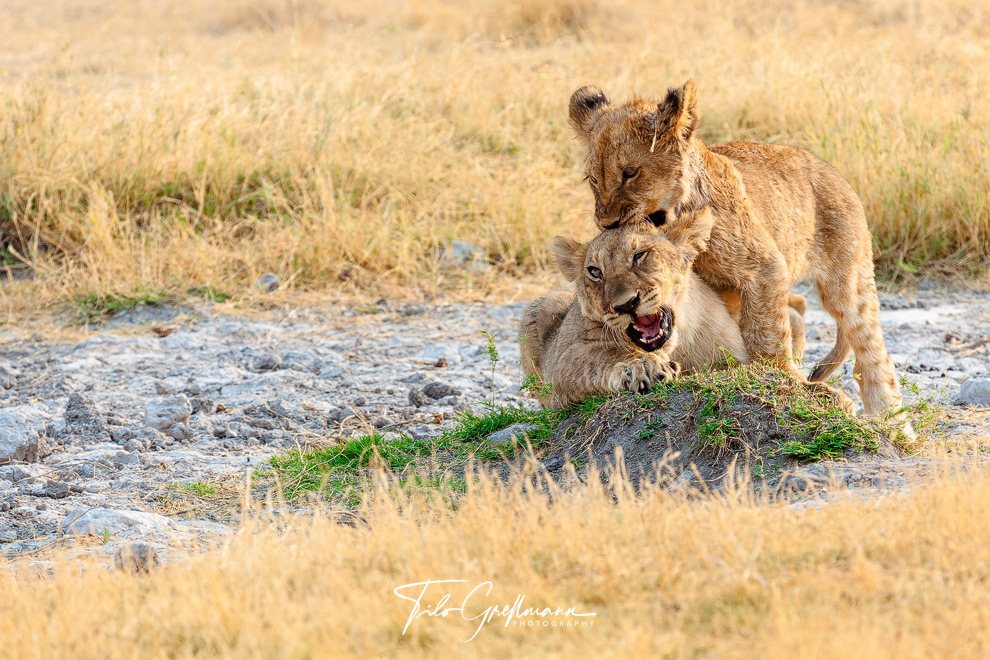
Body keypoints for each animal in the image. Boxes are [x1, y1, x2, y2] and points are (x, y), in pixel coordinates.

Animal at [519, 209, 822, 410]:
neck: (678, 345)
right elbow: (600, 357)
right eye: (595, 272)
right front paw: (644, 369)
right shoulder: (561, 360)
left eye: (639, 255)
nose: (625, 304)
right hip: (540, 305)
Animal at [567, 80, 902, 416]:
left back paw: (889, 417)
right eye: (593, 179)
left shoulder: (764, 266)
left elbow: (766, 334)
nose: (606, 223)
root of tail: (833, 171)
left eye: (630, 173)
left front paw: (784, 380)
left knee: (872, 352)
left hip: (847, 281)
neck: (674, 218)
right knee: (799, 305)